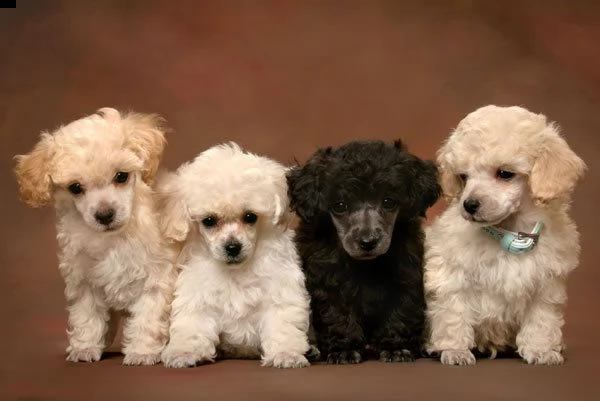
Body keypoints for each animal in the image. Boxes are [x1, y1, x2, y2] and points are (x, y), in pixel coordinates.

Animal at [14, 108, 177, 364]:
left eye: (121, 176)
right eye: (75, 187)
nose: (105, 214)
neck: (112, 239)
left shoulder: (156, 279)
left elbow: (147, 319)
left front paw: (142, 352)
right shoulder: (84, 281)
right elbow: (86, 316)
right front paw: (85, 347)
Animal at [157, 142, 312, 368]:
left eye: (250, 217)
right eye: (209, 221)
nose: (232, 247)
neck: (236, 271)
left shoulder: (279, 290)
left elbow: (282, 324)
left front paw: (286, 354)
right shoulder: (197, 294)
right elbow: (193, 324)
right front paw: (184, 352)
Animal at [288, 139, 440, 364]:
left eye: (389, 202)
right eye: (340, 206)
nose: (368, 242)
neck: (367, 265)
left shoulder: (406, 277)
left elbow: (400, 313)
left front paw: (396, 348)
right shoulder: (328, 282)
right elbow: (337, 316)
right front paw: (344, 350)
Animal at [426, 104, 584, 364]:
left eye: (505, 173)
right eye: (463, 177)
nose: (469, 204)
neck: (507, 230)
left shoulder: (546, 284)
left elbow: (541, 319)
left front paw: (540, 350)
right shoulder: (452, 275)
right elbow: (453, 314)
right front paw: (455, 350)